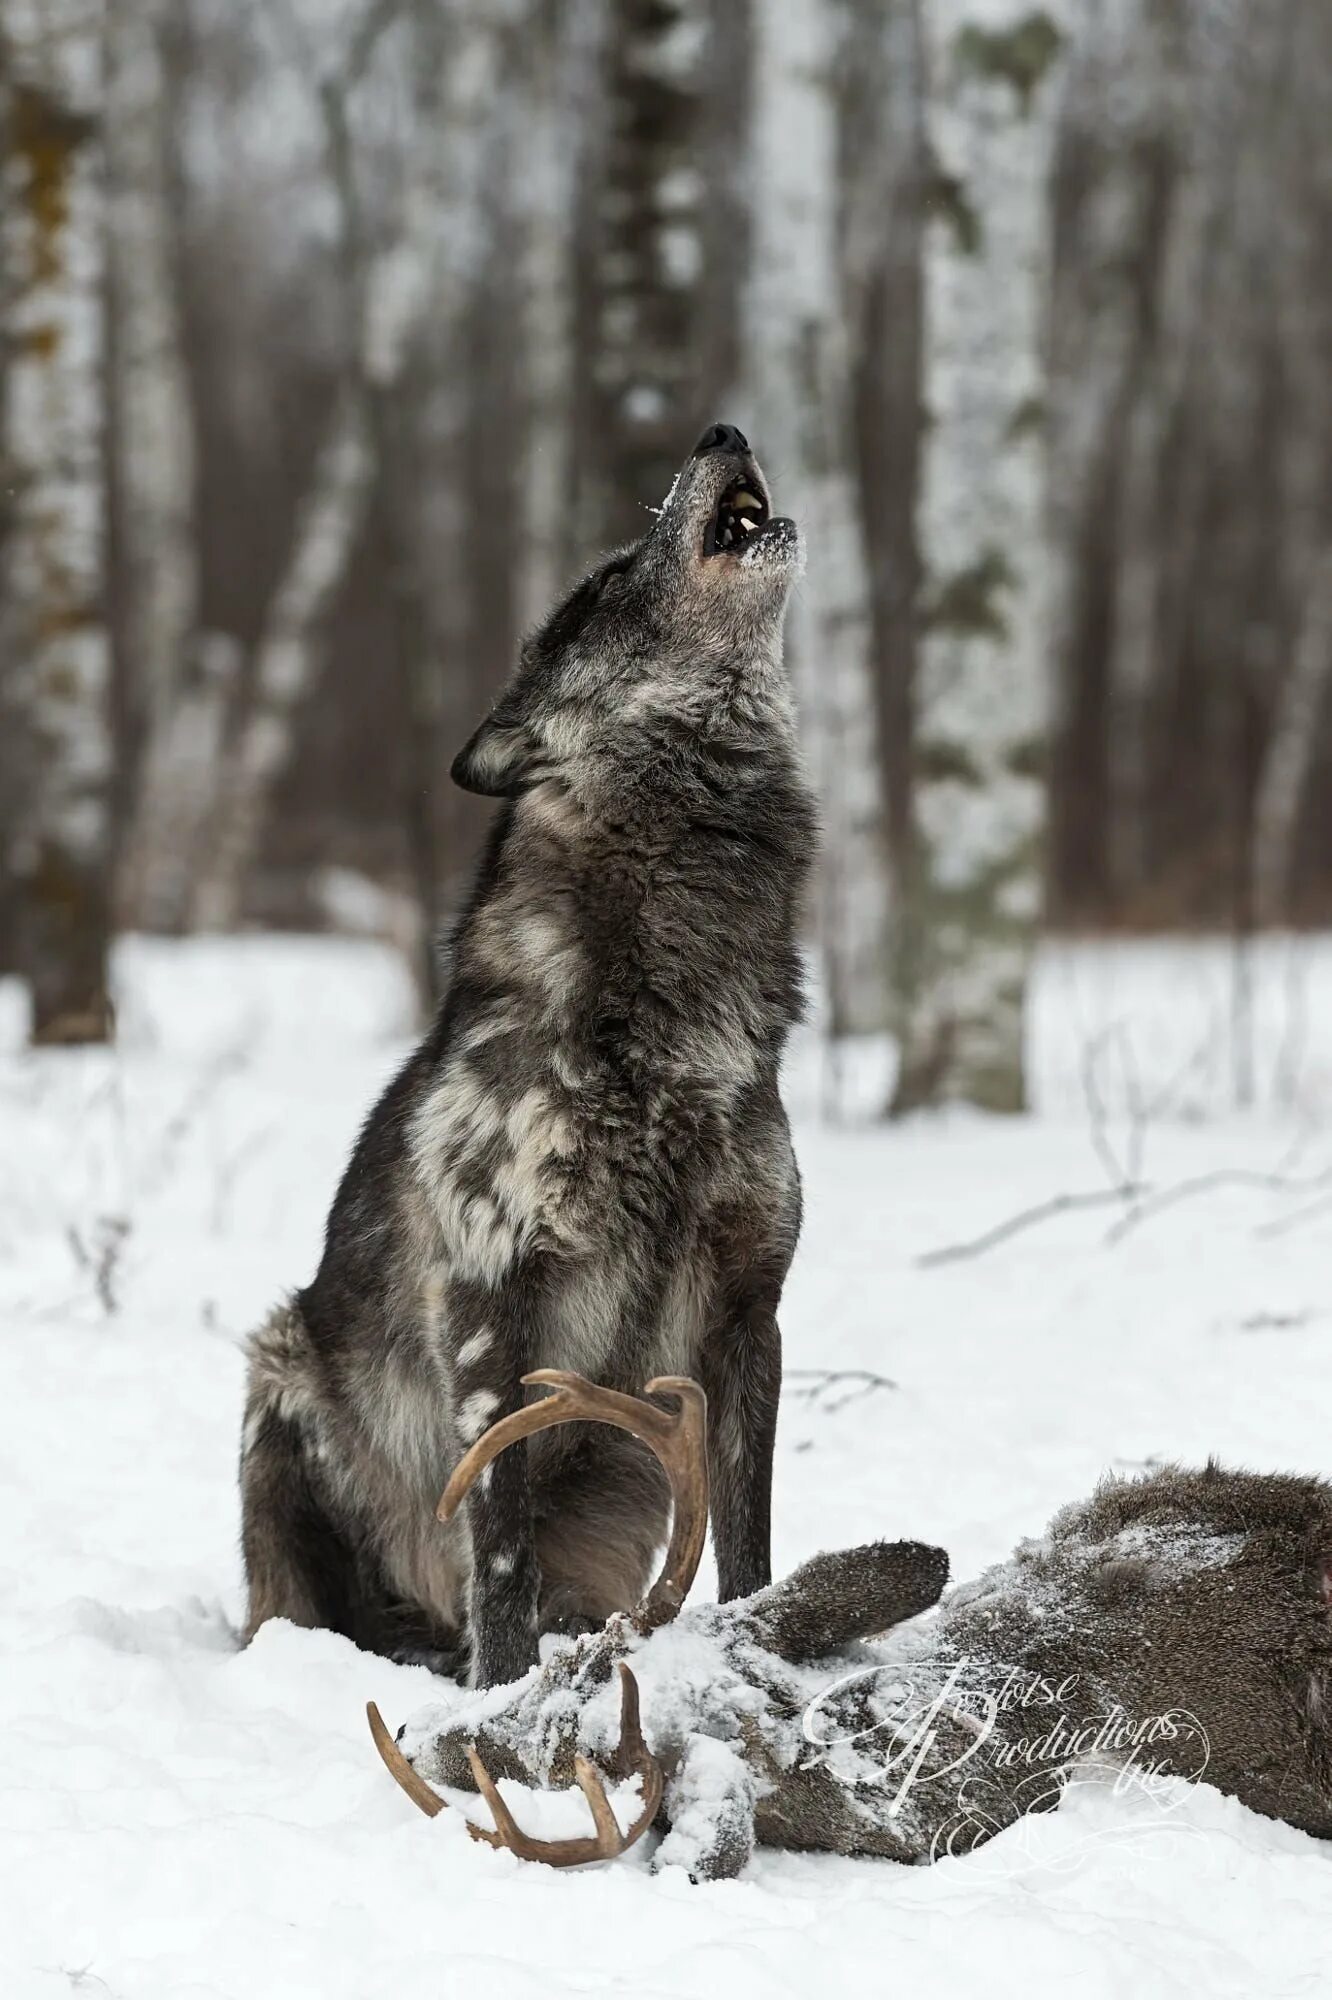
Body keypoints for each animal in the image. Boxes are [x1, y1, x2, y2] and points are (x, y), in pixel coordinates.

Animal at [243, 426, 816, 1688]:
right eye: (605, 581)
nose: (720, 431)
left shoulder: (747, 1310)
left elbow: (753, 1539)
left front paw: (769, 1645)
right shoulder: (490, 1306)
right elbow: (497, 1551)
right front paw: (503, 1696)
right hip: (278, 1378)